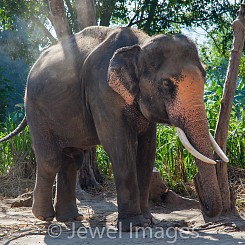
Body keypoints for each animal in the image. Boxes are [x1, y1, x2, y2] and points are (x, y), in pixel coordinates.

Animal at [0, 26, 229, 232]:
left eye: (205, 76)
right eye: (166, 84)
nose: (205, 208)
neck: (140, 45)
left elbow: (147, 150)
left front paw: (148, 221)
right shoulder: (102, 91)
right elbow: (120, 147)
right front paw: (134, 226)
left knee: (71, 159)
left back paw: (70, 217)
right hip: (35, 109)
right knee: (50, 159)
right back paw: (44, 216)